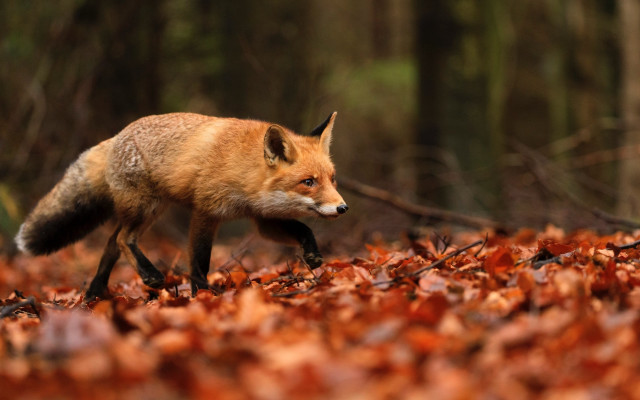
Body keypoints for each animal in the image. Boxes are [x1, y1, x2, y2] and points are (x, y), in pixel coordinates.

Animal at [15, 112, 348, 300]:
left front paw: (312, 254)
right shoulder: (205, 211)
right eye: (308, 182)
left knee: (110, 243)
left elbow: (303, 228)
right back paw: (149, 276)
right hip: (146, 207)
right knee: (122, 239)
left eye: (332, 179)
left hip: (147, 210)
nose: (343, 208)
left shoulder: (262, 218)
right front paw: (202, 295)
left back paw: (95, 295)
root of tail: (115, 136)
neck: (244, 169)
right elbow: (199, 261)